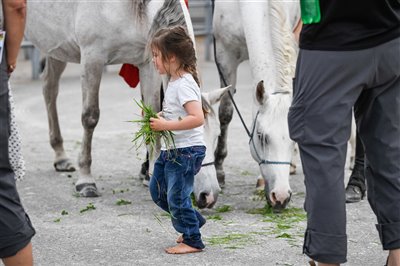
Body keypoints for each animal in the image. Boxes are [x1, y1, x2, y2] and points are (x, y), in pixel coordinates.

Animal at [24, 0, 200, 197]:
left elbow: (152, 114)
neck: (132, 8)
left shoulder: (148, 64)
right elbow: (90, 117)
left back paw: (61, 157)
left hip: (56, 48)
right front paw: (86, 180)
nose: (205, 197)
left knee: (49, 88)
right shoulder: (92, 58)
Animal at [212, 1, 300, 211]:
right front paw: (219, 170)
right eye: (261, 137)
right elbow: (225, 113)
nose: (281, 197)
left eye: (294, 139)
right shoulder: (225, 56)